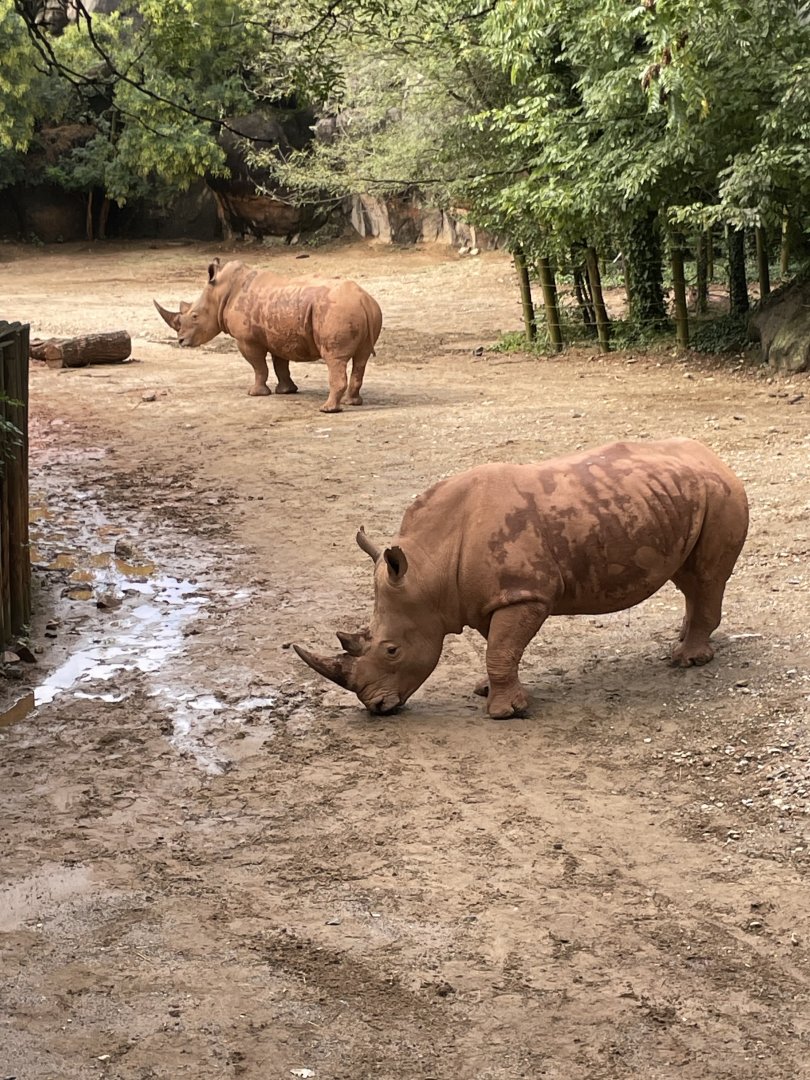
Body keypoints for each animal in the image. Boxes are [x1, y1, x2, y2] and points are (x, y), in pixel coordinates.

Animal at [155, 258, 383, 413]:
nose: (181, 341)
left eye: (194, 316)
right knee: (361, 359)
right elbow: (280, 365)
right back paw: (352, 403)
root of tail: (363, 300)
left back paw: (327, 409)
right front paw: (287, 391)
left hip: (336, 311)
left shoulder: (246, 340)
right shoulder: (278, 336)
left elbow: (259, 367)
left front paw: (255, 393)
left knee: (334, 359)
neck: (220, 294)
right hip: (362, 310)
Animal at [294, 438, 749, 718]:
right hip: (681, 497)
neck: (428, 565)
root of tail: (716, 458)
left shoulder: (526, 594)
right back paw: (684, 639)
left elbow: (501, 650)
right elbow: (497, 648)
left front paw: (505, 713)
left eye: (391, 651)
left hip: (721, 494)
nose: (376, 708)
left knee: (706, 576)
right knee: (687, 578)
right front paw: (487, 691)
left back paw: (686, 660)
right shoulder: (488, 597)